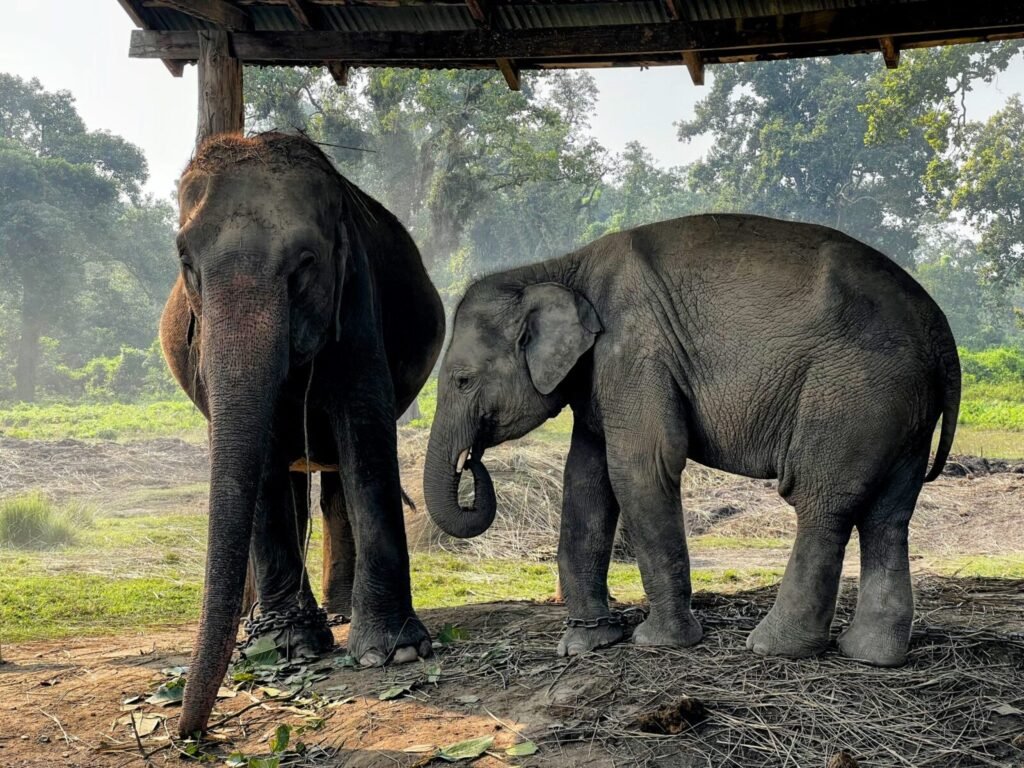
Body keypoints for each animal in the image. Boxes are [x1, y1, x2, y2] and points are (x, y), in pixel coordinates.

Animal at [160, 132, 444, 735]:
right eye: (185, 262)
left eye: (306, 264)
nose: (187, 734)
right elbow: (263, 458)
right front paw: (287, 646)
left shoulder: (356, 298)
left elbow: (364, 430)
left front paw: (396, 652)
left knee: (337, 478)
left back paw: (341, 611)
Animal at [423, 213, 960, 668]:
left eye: (462, 381)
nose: (472, 462)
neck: (557, 267)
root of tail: (941, 331)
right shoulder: (599, 374)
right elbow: (586, 479)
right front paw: (585, 645)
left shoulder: (634, 351)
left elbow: (639, 467)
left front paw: (660, 643)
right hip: (903, 409)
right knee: (888, 516)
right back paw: (870, 656)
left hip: (853, 393)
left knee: (820, 502)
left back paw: (772, 648)